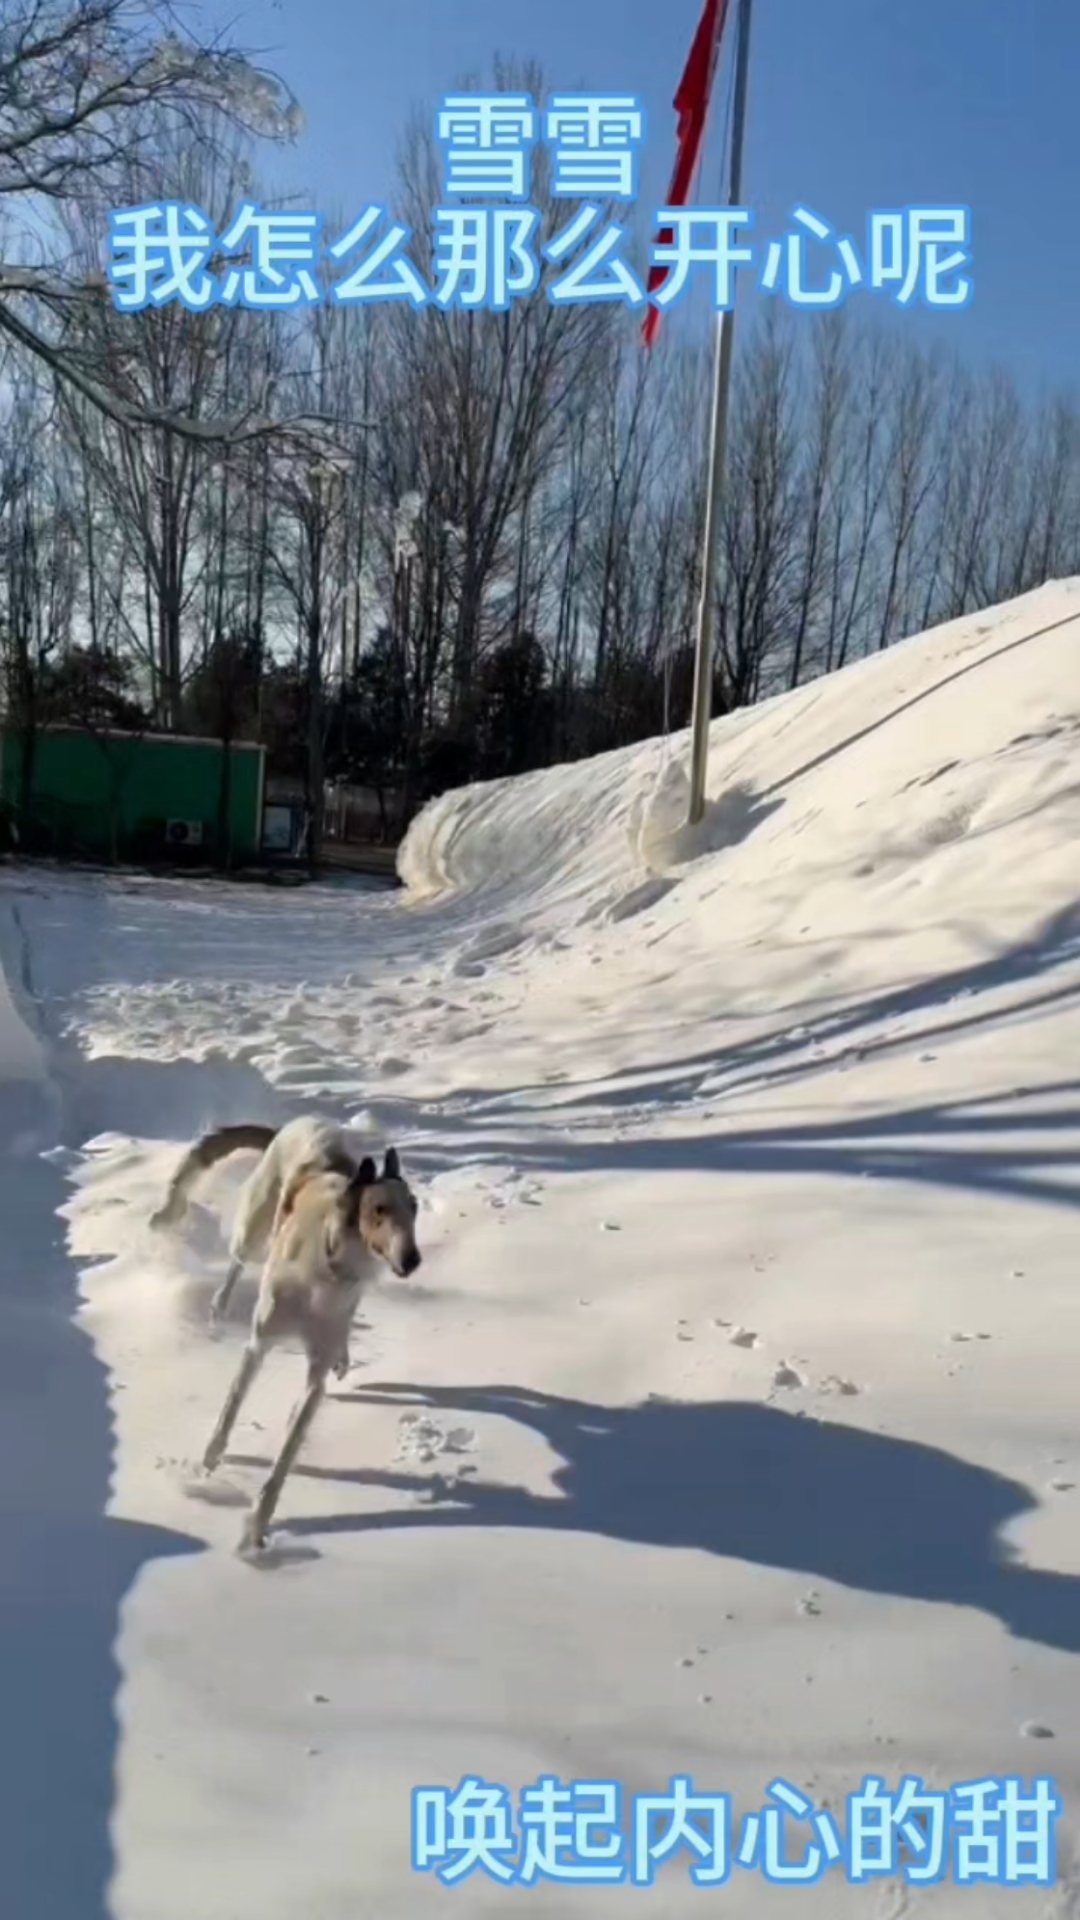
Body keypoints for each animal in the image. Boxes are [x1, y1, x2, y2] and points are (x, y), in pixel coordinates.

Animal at [148, 1121, 418, 1551]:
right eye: (378, 1209)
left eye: (415, 1207)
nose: (412, 1259)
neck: (329, 1267)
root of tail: (301, 1123)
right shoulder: (258, 1346)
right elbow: (230, 1408)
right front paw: (209, 1461)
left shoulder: (315, 1375)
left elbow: (289, 1448)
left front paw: (257, 1523)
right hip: (254, 1230)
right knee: (237, 1263)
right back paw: (219, 1306)